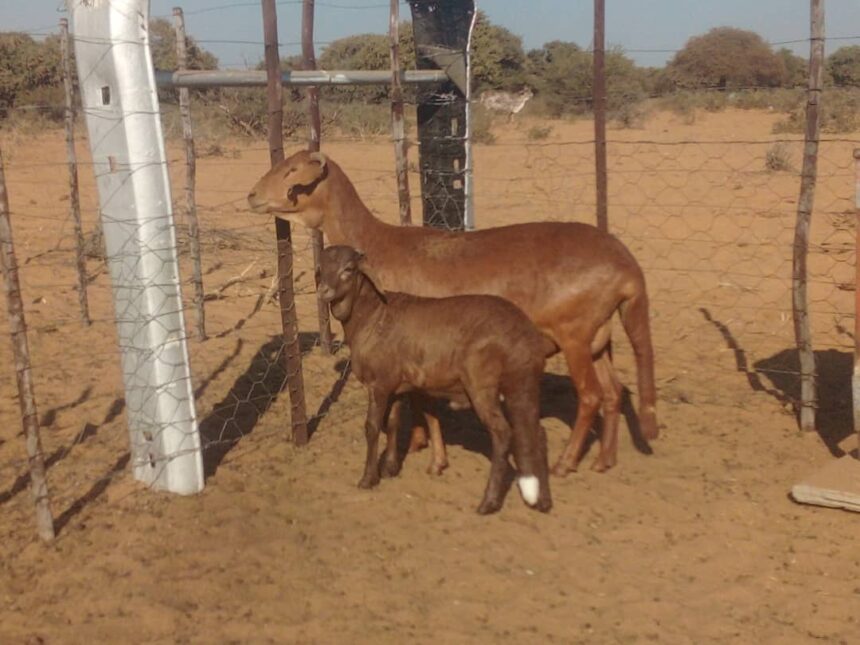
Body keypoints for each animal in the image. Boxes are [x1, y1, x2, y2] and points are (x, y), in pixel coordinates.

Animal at [247, 150, 658, 476]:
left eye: (292, 168)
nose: (251, 195)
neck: (375, 243)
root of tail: (627, 268)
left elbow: (410, 402)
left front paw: (414, 448)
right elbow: (419, 398)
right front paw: (422, 445)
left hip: (573, 334)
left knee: (590, 396)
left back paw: (566, 463)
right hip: (598, 337)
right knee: (613, 392)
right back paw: (603, 460)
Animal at [317, 244, 553, 515]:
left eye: (349, 269)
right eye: (320, 267)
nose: (323, 291)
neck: (371, 315)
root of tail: (524, 335)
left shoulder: (378, 383)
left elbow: (373, 427)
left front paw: (368, 479)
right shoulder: (394, 384)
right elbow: (393, 423)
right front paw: (390, 468)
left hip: (482, 384)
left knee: (502, 433)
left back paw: (488, 502)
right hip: (523, 382)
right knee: (537, 432)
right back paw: (542, 500)